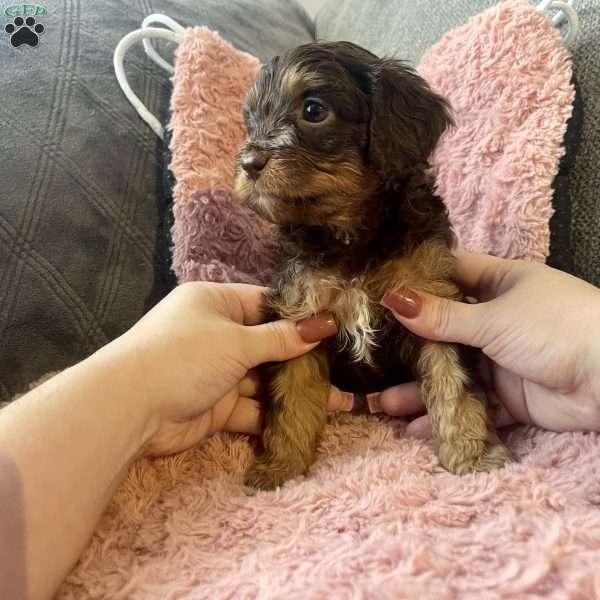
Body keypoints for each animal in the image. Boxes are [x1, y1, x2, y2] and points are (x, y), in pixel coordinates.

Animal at [233, 43, 510, 492]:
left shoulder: (429, 293)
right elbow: (291, 396)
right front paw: (280, 470)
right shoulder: (301, 311)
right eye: (250, 120)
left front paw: (475, 458)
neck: (351, 234)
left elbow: (455, 384)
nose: (248, 162)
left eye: (313, 110)